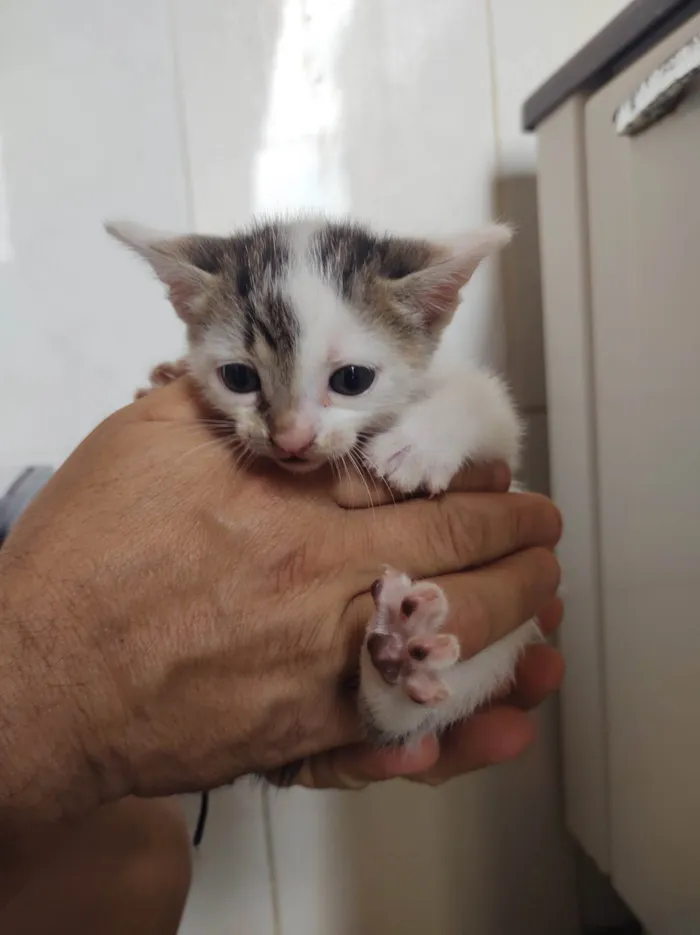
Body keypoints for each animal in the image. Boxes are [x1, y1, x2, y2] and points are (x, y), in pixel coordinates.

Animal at [105, 218, 540, 744]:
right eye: (238, 377)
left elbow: (487, 402)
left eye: (352, 380)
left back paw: (401, 660)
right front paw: (167, 374)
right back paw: (396, 658)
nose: (290, 438)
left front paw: (415, 446)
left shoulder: (497, 440)